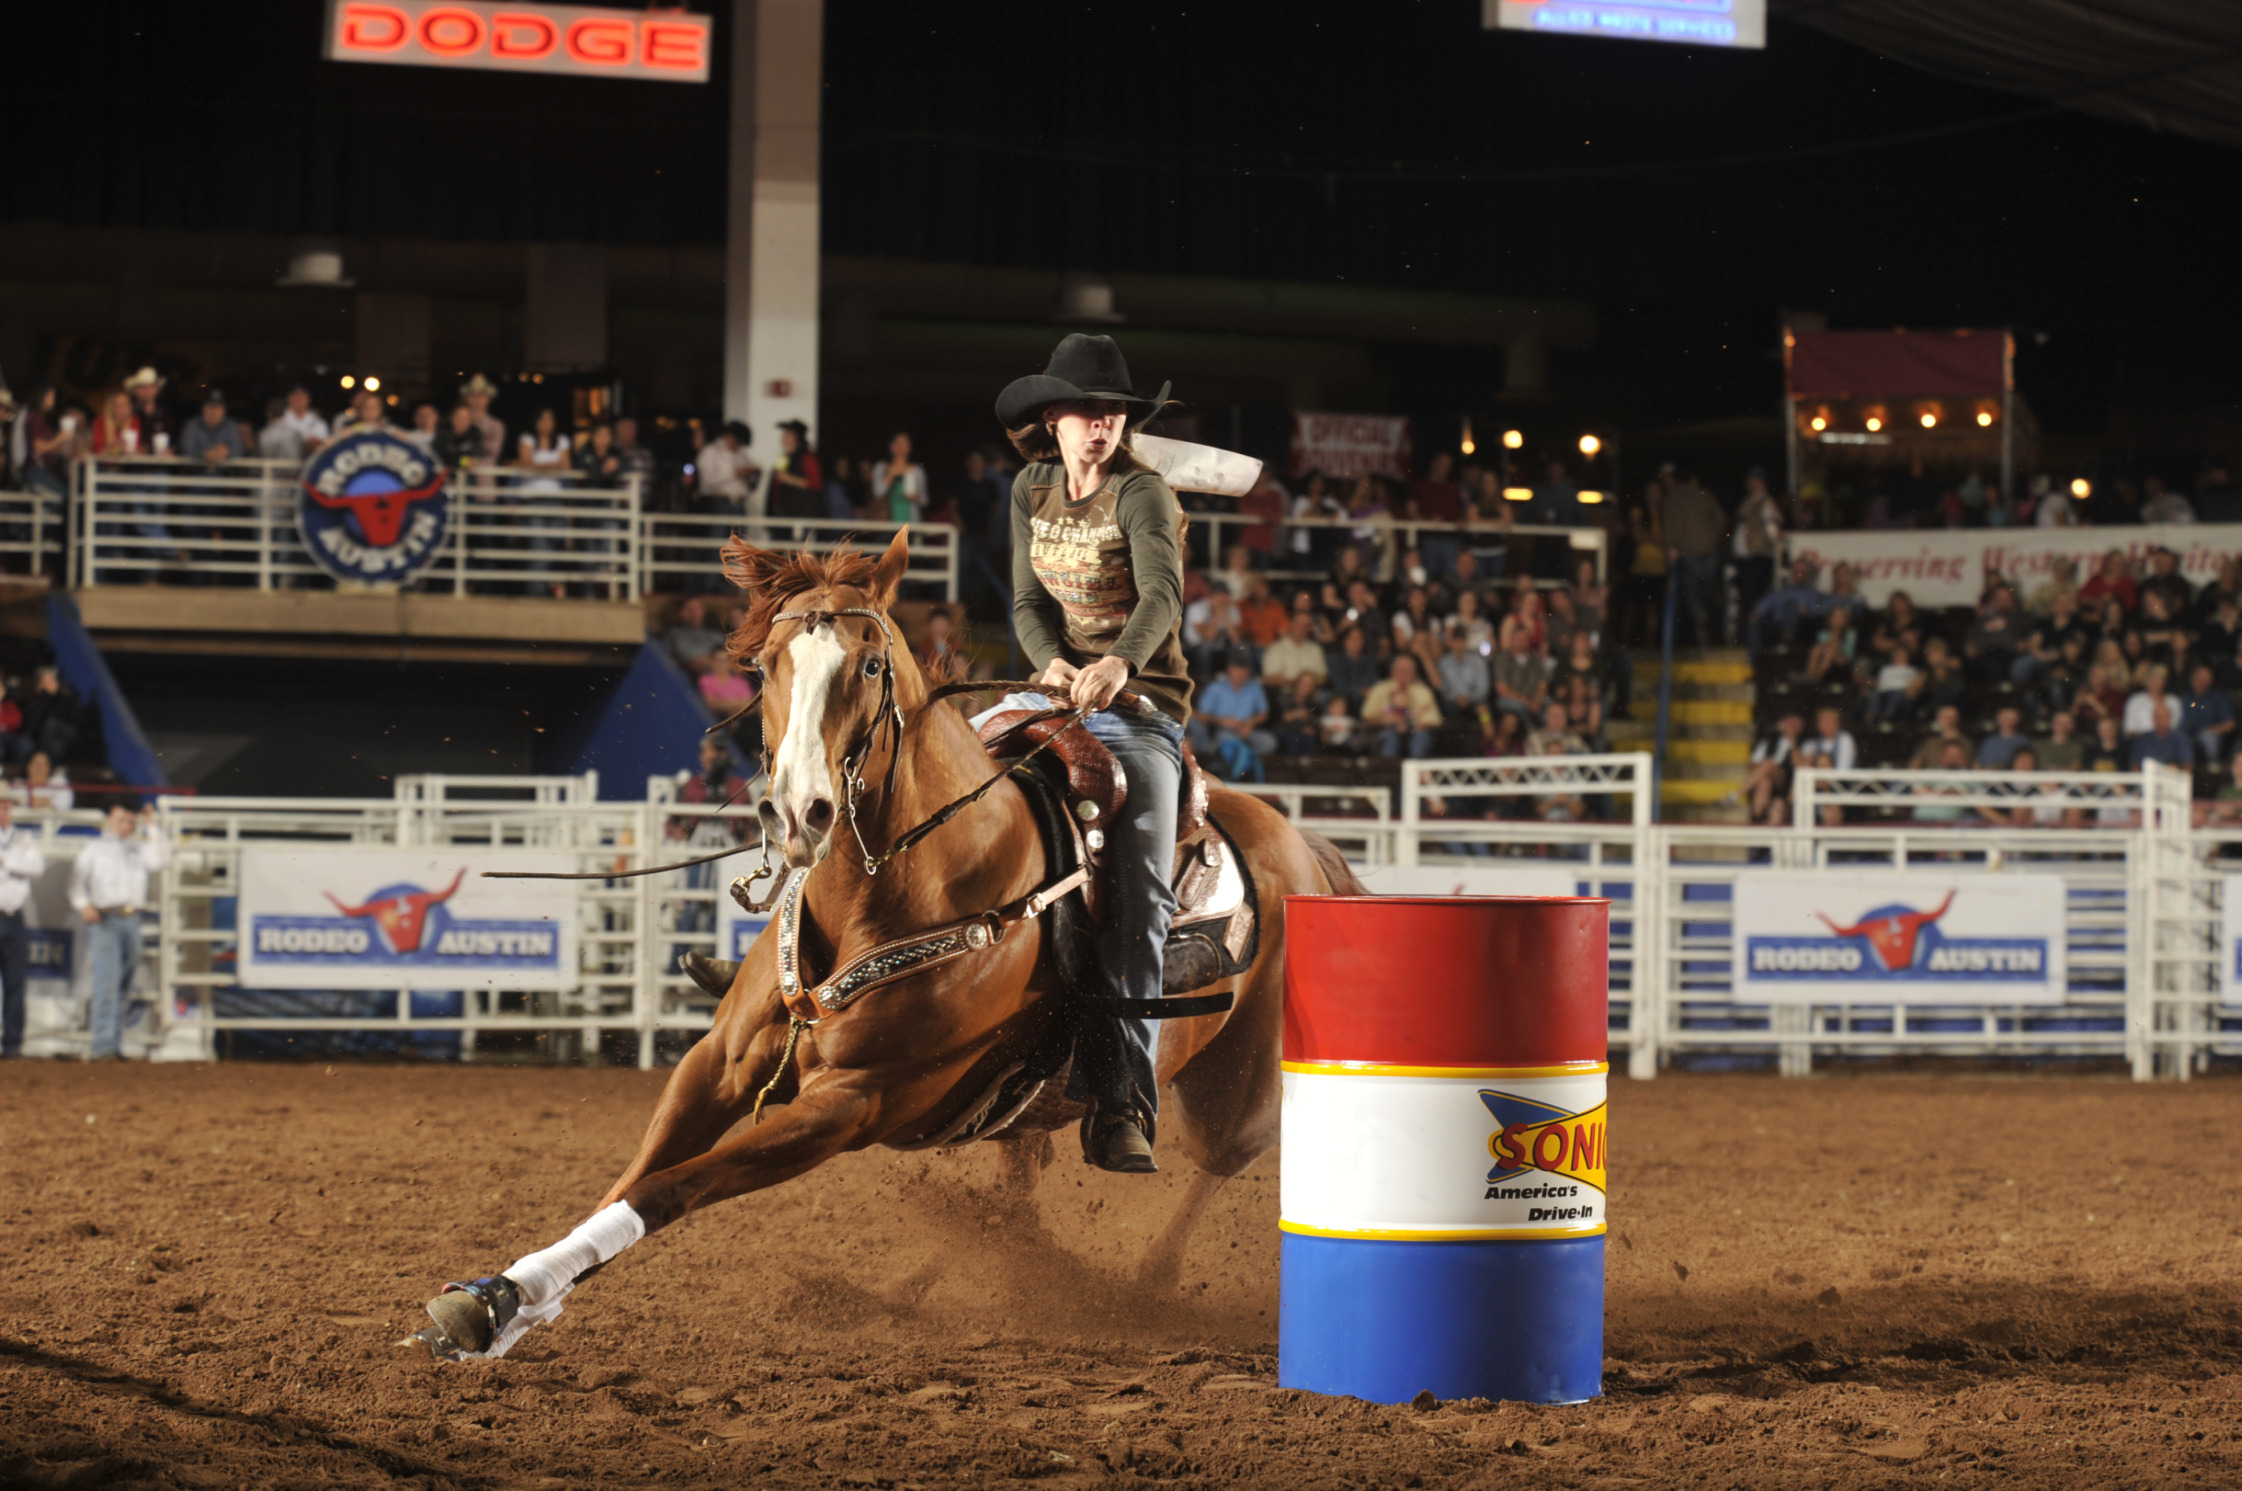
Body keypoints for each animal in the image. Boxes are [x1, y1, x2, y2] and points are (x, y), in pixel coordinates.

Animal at [417, 529, 1363, 1354]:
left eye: (869, 665)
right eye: (764, 665)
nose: (798, 813)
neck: (915, 880)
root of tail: (1299, 840)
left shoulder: (851, 1103)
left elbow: (670, 1185)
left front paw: (508, 1302)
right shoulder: (718, 1061)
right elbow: (633, 1175)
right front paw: (503, 1298)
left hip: (1239, 1090)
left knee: (1215, 1166)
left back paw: (1140, 1282)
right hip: (1031, 1108)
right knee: (1012, 1207)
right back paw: (912, 1288)